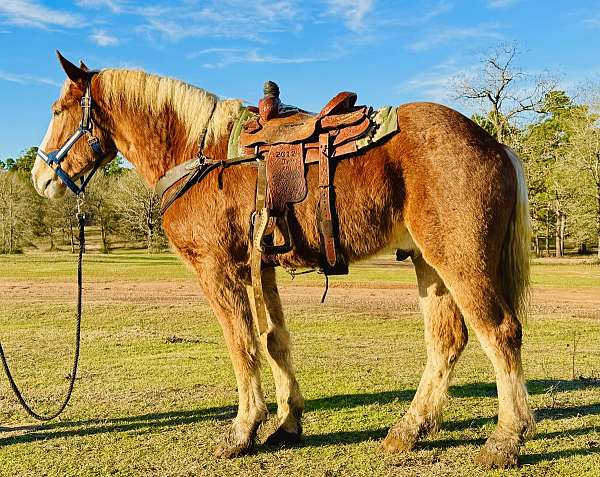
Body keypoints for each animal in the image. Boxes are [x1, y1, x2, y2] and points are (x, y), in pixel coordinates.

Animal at [30, 54, 532, 466]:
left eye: (56, 111)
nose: (39, 177)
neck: (200, 155)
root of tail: (495, 145)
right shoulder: (260, 268)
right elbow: (275, 342)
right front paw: (287, 424)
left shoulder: (218, 270)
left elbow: (241, 343)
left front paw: (243, 430)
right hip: (429, 265)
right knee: (446, 340)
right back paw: (408, 431)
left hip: (460, 260)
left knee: (500, 332)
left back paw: (506, 439)